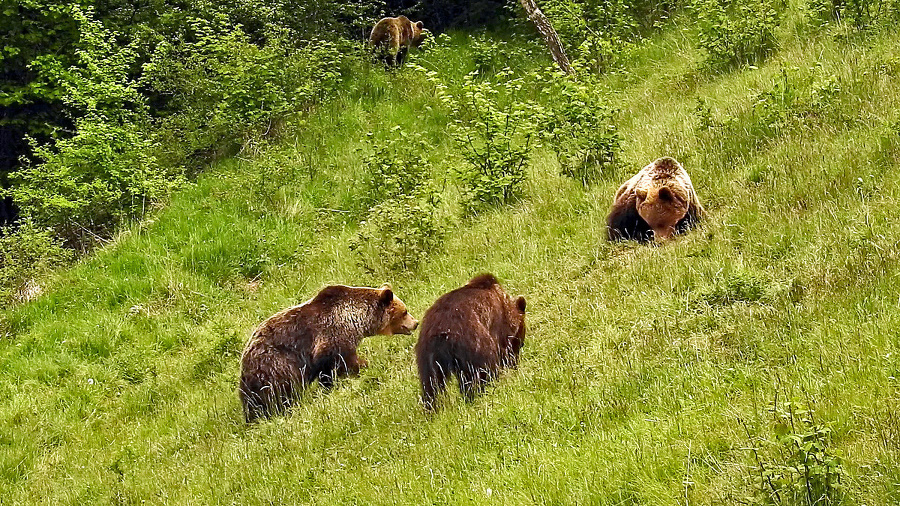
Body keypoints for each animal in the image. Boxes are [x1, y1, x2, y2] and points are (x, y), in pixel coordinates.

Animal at [237, 282, 416, 422]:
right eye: (405, 311)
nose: (416, 323)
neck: (356, 320)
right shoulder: (331, 336)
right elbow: (343, 362)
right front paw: (364, 366)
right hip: (276, 365)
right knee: (281, 391)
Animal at [414, 272, 528, 412]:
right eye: (520, 343)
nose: (515, 365)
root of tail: (442, 334)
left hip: (427, 354)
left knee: (431, 383)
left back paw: (433, 408)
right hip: (473, 341)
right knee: (481, 372)